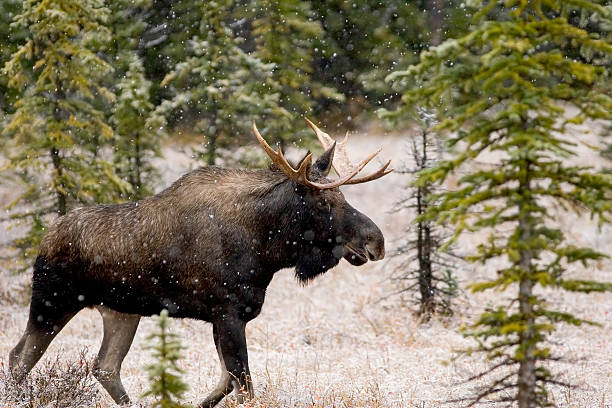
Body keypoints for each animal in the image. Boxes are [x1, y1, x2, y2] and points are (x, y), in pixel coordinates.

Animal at [8, 119, 392, 406]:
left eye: (343, 195)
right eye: (324, 201)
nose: (376, 241)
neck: (266, 250)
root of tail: (45, 237)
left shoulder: (225, 317)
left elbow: (226, 382)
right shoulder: (227, 312)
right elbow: (245, 387)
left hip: (121, 312)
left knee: (105, 366)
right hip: (51, 303)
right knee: (19, 358)